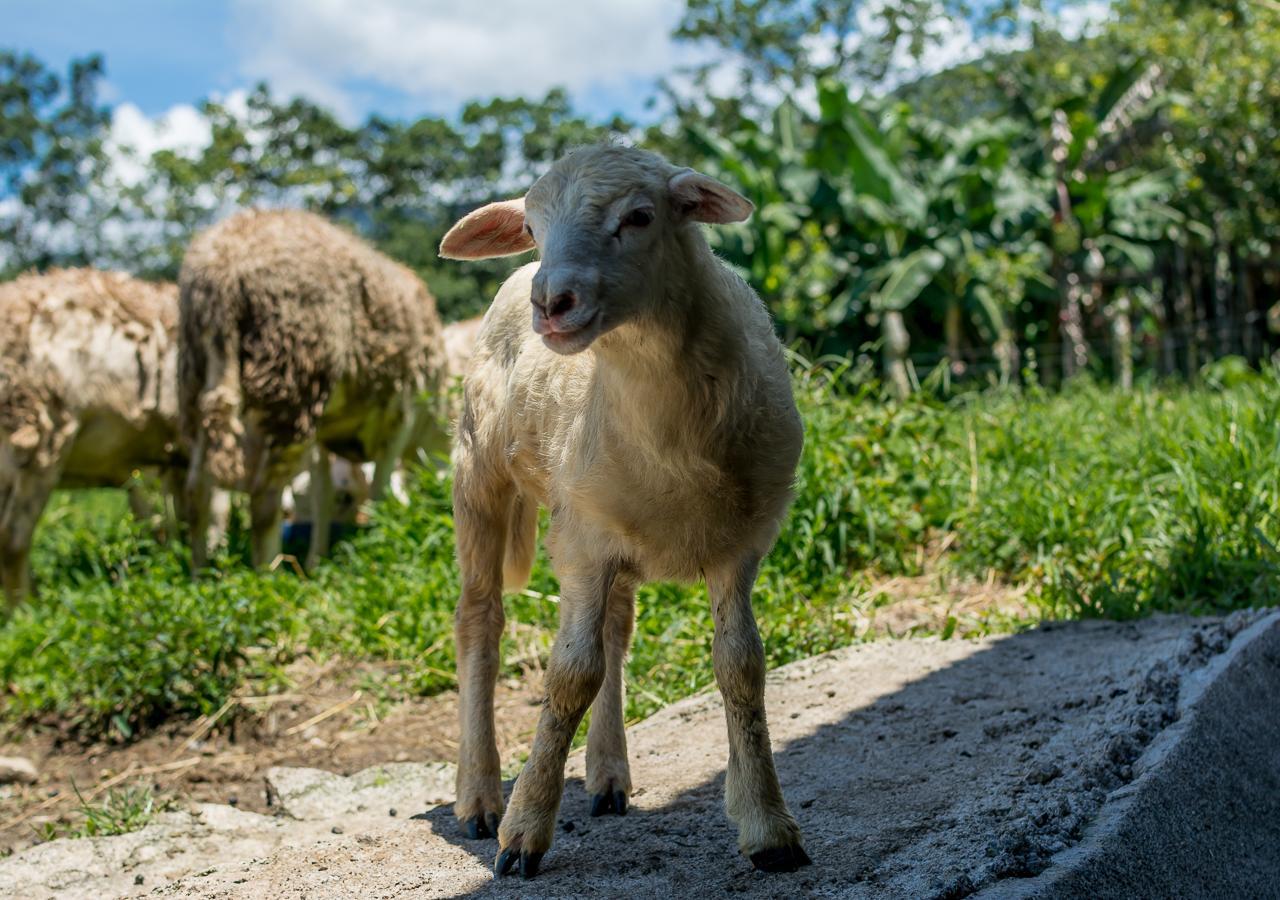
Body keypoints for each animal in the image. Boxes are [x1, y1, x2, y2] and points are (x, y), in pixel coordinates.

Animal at [180, 209, 448, 570]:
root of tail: (223, 272)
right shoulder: (400, 415)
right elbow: (379, 490)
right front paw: (378, 544)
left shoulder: (327, 434)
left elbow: (323, 495)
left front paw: (316, 561)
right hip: (292, 381)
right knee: (264, 498)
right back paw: (267, 574)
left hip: (195, 381)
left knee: (196, 489)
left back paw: (200, 570)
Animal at [435, 145, 803, 880]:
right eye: (533, 226)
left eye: (639, 217)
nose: (552, 301)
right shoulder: (582, 542)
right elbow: (568, 676)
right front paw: (524, 831)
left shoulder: (740, 544)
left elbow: (741, 667)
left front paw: (766, 824)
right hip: (479, 474)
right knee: (481, 621)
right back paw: (481, 797)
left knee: (614, 632)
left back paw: (607, 775)